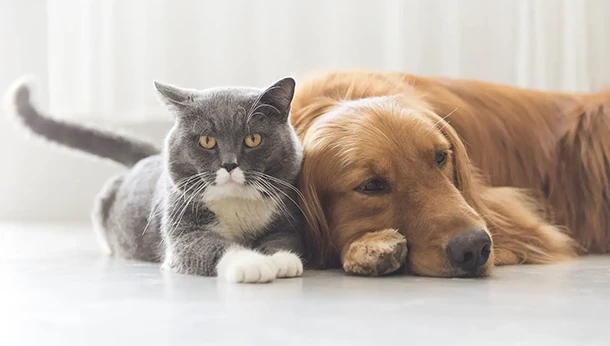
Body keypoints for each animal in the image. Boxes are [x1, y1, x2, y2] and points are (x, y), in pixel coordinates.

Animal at [5, 76, 304, 284]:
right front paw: (253, 264)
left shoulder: (286, 218)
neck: (235, 202)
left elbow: (285, 239)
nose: (230, 164)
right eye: (207, 141)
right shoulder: (182, 228)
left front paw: (281, 260)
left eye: (253, 139)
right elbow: (213, 247)